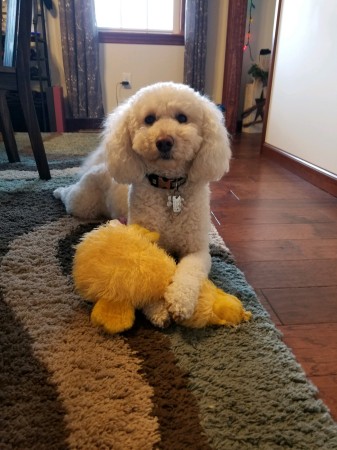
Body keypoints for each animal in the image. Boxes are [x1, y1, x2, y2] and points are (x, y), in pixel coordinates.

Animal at [53, 81, 231, 326]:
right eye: (149, 119)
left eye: (182, 118)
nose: (164, 141)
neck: (168, 188)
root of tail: (103, 164)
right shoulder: (144, 239)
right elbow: (145, 273)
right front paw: (158, 309)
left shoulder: (197, 249)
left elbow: (190, 271)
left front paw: (180, 301)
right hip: (82, 204)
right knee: (68, 195)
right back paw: (58, 191)